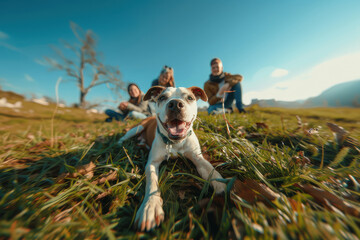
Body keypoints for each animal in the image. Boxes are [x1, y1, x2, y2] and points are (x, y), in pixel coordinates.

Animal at [117, 86, 225, 231]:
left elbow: (211, 169)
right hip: (137, 128)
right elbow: (152, 183)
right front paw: (150, 207)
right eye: (162, 97)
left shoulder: (198, 158)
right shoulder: (152, 163)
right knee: (125, 136)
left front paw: (224, 187)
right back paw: (118, 143)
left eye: (189, 98)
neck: (175, 143)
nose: (175, 104)